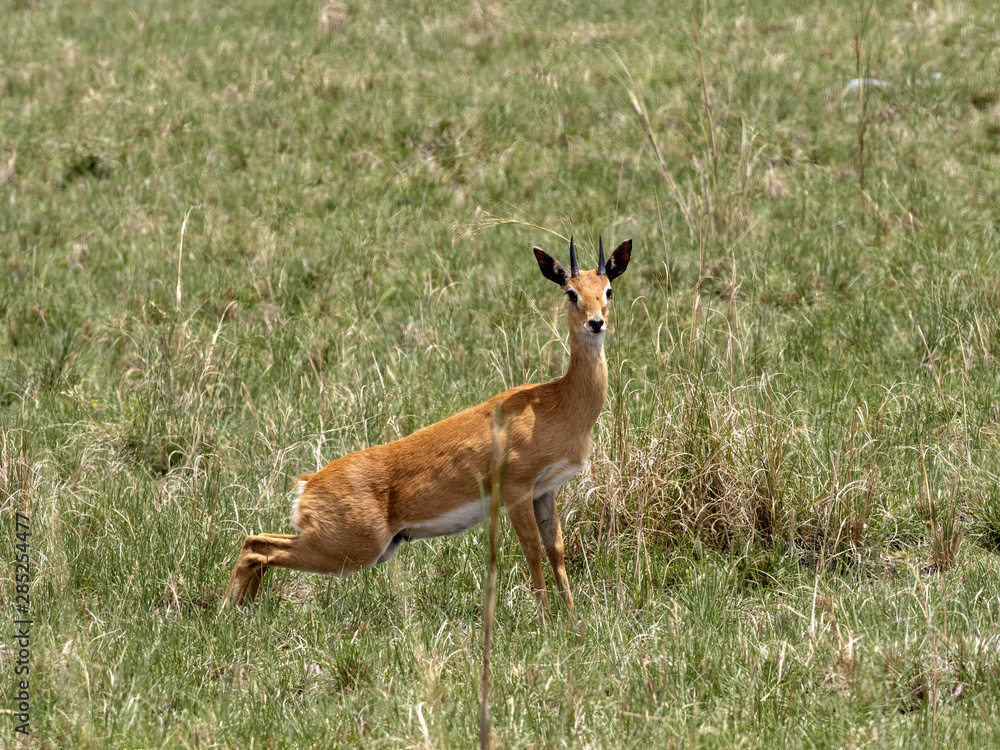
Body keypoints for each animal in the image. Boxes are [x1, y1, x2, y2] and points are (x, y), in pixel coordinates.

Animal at [223, 236, 632, 616]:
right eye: (571, 292)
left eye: (607, 289)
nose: (596, 323)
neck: (557, 402)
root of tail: (307, 484)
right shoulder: (517, 489)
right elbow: (532, 550)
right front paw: (546, 621)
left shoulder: (544, 490)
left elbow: (556, 550)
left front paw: (572, 618)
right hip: (351, 550)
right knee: (255, 546)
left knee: (258, 546)